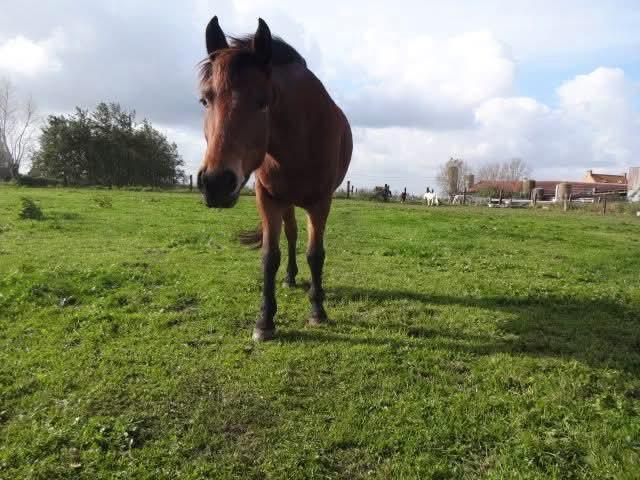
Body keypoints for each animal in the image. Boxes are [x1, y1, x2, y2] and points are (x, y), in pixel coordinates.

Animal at [196, 17, 352, 341]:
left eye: (263, 101)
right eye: (205, 100)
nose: (216, 183)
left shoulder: (321, 202)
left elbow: (315, 254)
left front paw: (317, 311)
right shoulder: (268, 198)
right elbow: (270, 256)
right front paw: (265, 321)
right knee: (291, 235)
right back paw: (290, 278)